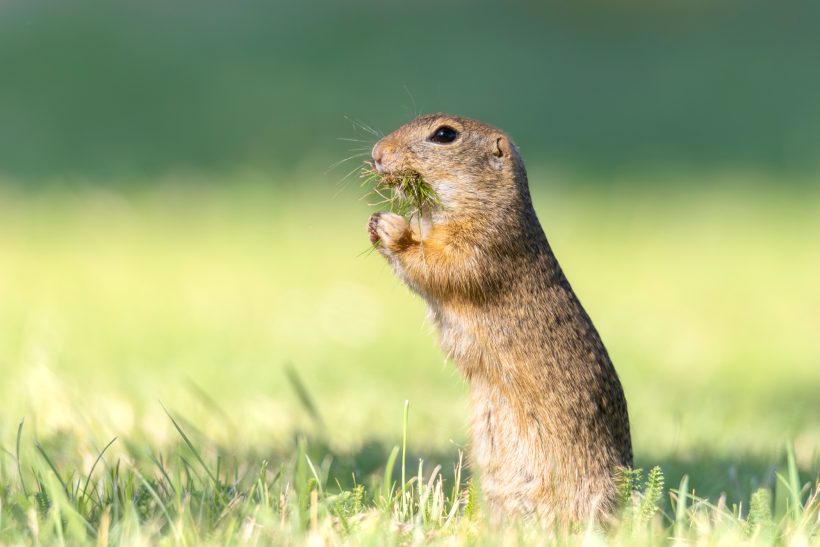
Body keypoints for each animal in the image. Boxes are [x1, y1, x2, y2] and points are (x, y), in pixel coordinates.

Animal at [366, 113, 636, 524]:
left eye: (444, 134)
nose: (377, 153)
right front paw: (374, 223)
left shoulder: (484, 239)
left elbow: (440, 263)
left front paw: (389, 225)